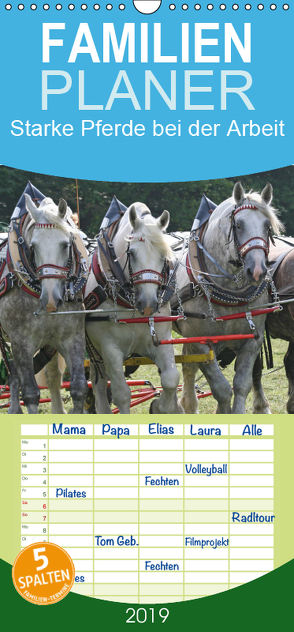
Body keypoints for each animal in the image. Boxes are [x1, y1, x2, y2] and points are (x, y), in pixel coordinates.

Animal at [173, 181, 282, 414]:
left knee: (188, 364)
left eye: (267, 226)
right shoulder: (202, 344)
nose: (257, 271)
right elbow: (221, 389)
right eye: (238, 225)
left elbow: (242, 384)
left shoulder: (253, 341)